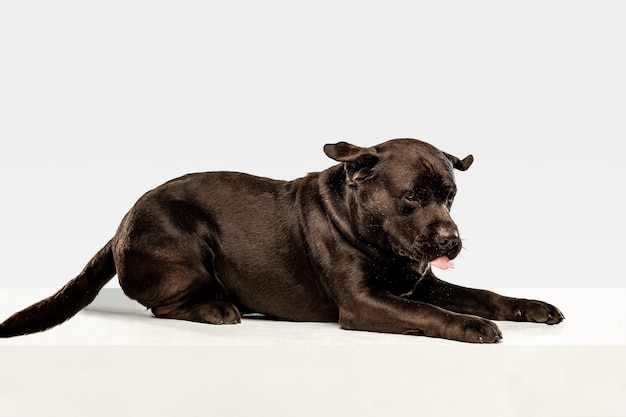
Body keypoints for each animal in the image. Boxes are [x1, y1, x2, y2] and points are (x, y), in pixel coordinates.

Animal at [0, 139, 564, 342]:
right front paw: (473, 326)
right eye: (411, 197)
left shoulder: (422, 284)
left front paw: (532, 307)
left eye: (450, 197)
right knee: (165, 306)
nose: (452, 241)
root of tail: (120, 224)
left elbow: (485, 294)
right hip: (186, 242)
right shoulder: (364, 304)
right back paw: (219, 309)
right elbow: (433, 314)